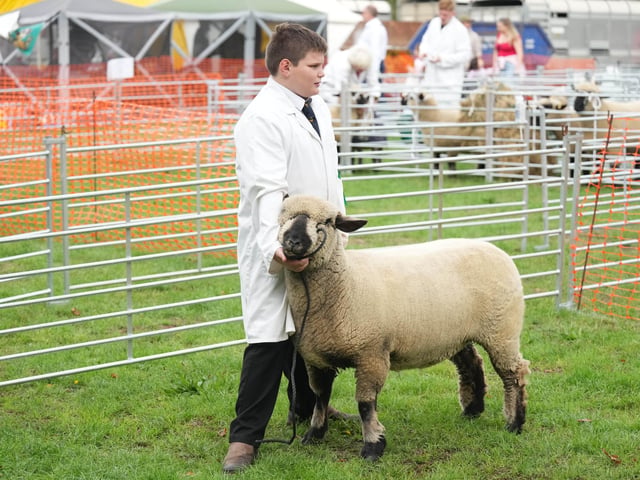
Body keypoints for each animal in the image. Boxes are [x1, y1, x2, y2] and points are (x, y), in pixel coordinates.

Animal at [278, 194, 530, 462]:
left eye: (327, 221)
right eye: (282, 215)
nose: (292, 241)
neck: (346, 283)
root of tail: (495, 249)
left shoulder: (372, 354)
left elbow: (365, 404)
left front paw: (372, 446)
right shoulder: (316, 357)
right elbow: (320, 396)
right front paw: (314, 434)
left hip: (502, 330)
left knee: (513, 372)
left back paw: (514, 423)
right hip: (455, 332)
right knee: (471, 363)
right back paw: (472, 410)